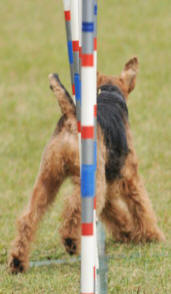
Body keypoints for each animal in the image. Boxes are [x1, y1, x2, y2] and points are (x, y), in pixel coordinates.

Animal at [8, 56, 164, 274]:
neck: (109, 95)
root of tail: (71, 119)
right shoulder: (130, 176)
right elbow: (142, 206)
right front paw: (152, 236)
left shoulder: (107, 185)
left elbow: (113, 211)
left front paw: (127, 231)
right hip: (90, 179)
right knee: (72, 208)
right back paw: (70, 241)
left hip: (48, 177)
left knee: (28, 217)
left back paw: (17, 261)